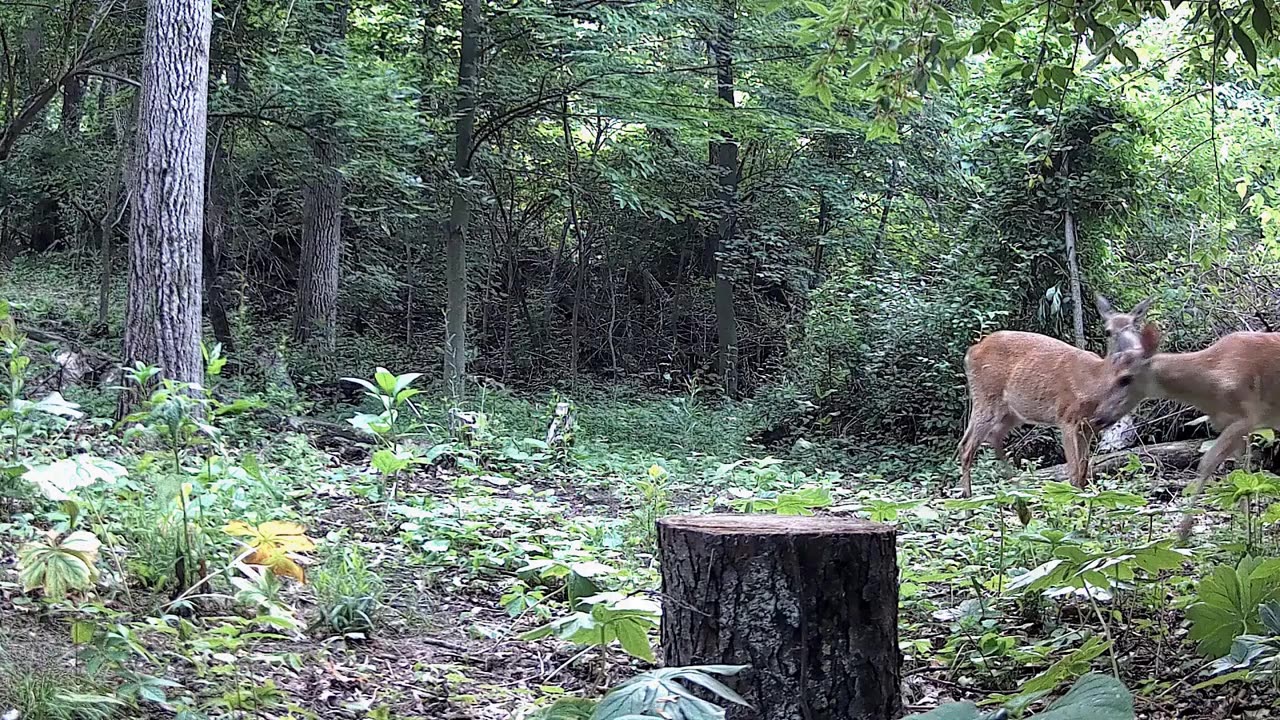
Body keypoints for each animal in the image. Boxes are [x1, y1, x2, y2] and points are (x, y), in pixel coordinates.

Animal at [962, 294, 1162, 497]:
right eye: (1108, 331)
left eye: (1135, 326)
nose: (1135, 349)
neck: (1095, 382)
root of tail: (972, 351)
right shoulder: (1066, 418)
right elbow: (1074, 471)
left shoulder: (1087, 427)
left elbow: (1084, 470)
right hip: (986, 397)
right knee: (967, 445)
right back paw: (969, 499)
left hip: (1012, 412)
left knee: (993, 436)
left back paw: (1017, 487)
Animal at [1090, 327, 1280, 535]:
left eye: (1125, 378)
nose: (1098, 417)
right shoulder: (1229, 424)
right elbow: (1242, 473)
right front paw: (1246, 529)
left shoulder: (1248, 416)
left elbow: (1206, 463)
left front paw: (1183, 530)